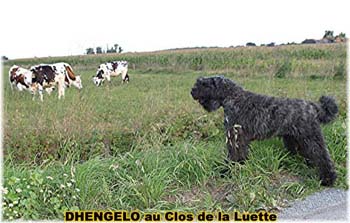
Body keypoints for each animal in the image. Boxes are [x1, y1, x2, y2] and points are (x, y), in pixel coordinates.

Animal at [191, 76, 340, 186]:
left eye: (204, 84)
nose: (192, 91)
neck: (232, 97)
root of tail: (312, 106)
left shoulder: (236, 138)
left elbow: (234, 156)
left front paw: (228, 171)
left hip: (310, 137)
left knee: (321, 155)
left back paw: (328, 179)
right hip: (295, 137)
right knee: (309, 153)